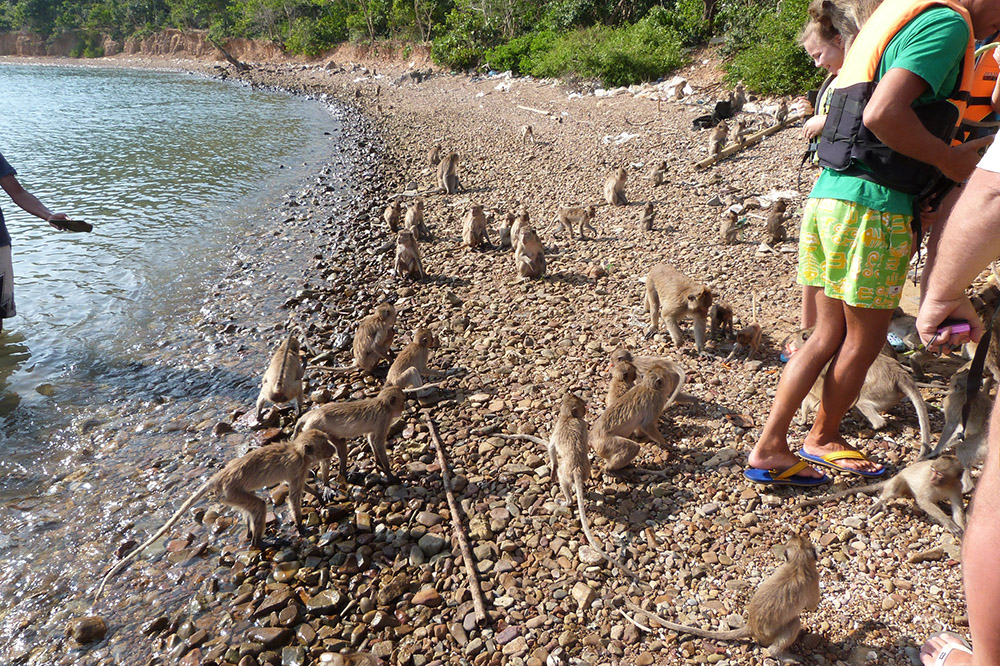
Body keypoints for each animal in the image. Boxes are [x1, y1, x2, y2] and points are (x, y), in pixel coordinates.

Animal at [624, 528, 820, 660]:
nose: (796, 535)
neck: (798, 564)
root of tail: (751, 627)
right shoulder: (813, 580)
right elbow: (812, 606)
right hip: (771, 635)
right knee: (793, 624)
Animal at [792, 456, 964, 536]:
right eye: (933, 471)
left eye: (939, 473)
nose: (933, 477)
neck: (943, 485)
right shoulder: (928, 484)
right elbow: (923, 501)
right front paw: (948, 523)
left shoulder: (957, 487)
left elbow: (958, 510)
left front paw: (961, 528)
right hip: (900, 482)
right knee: (895, 488)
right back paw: (881, 501)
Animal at [796, 344, 928, 448]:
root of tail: (900, 374)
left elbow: (807, 402)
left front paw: (802, 421)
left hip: (881, 389)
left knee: (859, 399)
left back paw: (875, 425)